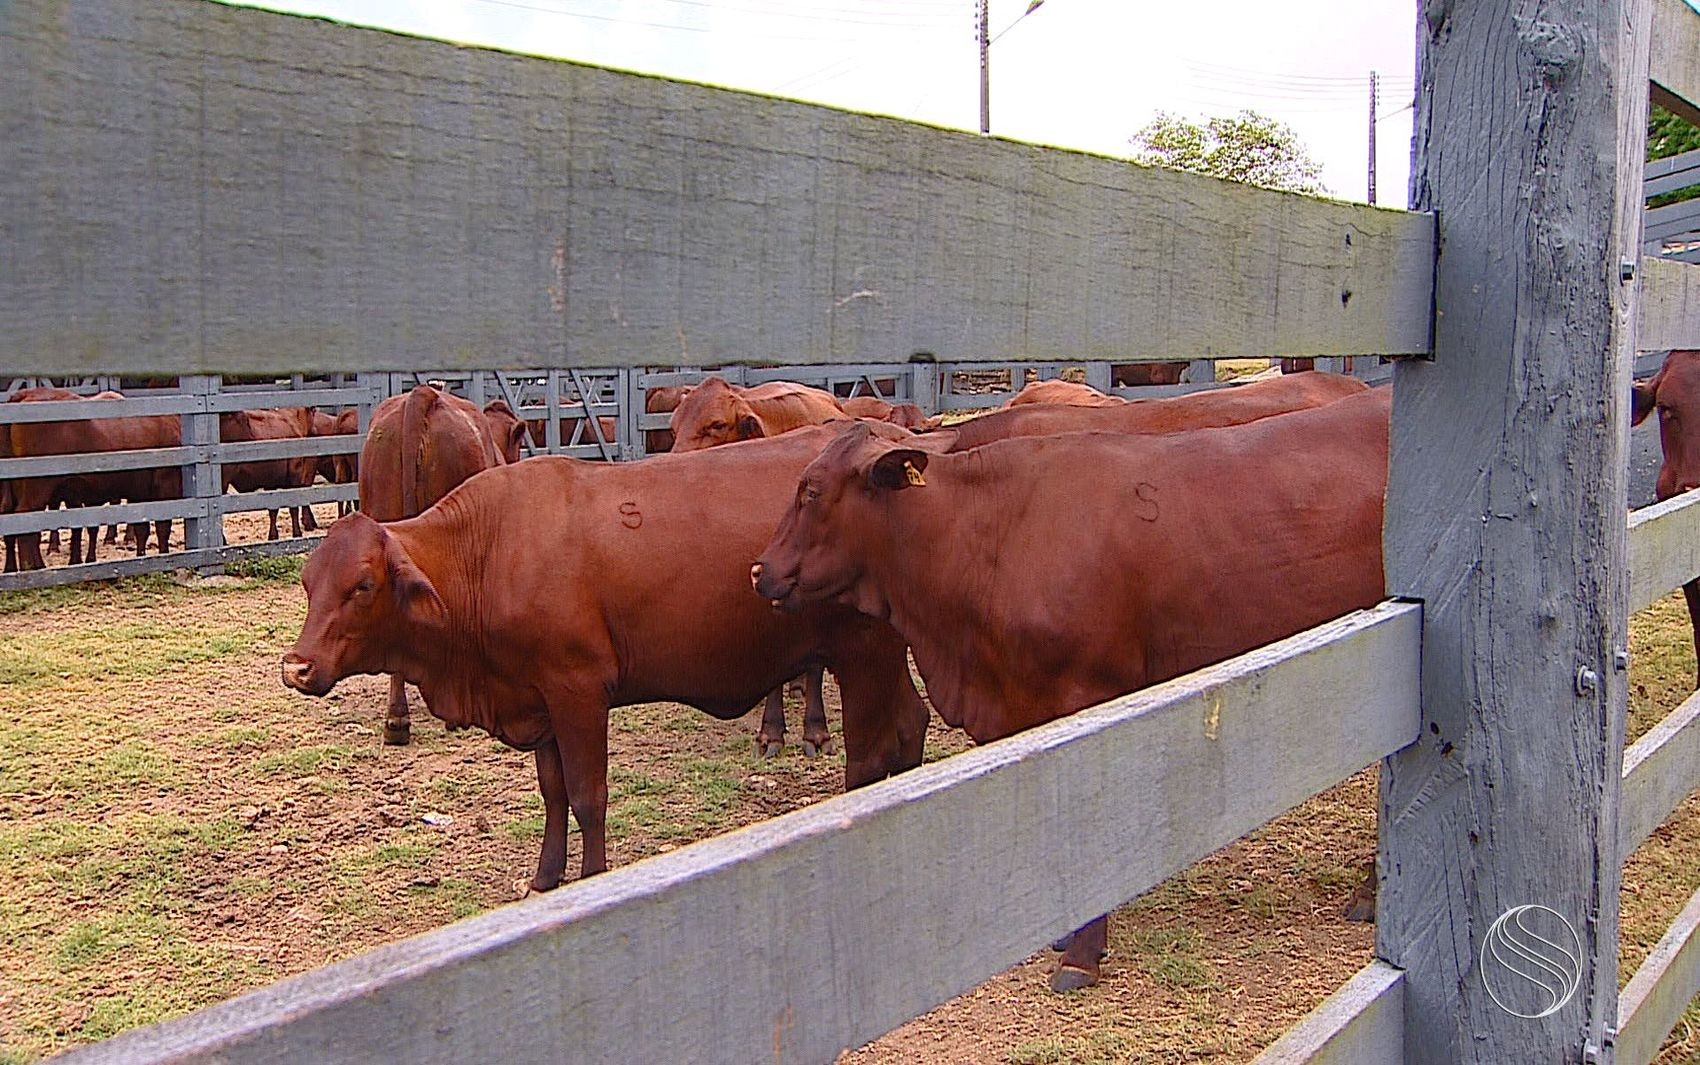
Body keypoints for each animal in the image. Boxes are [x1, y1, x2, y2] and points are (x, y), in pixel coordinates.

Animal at [289, 427, 931, 891]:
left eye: (363, 585)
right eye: (308, 582)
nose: (296, 667)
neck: (489, 551)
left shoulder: (578, 693)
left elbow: (588, 796)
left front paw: (590, 877)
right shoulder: (539, 701)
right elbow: (554, 795)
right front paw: (545, 878)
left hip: (862, 653)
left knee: (871, 750)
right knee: (911, 723)